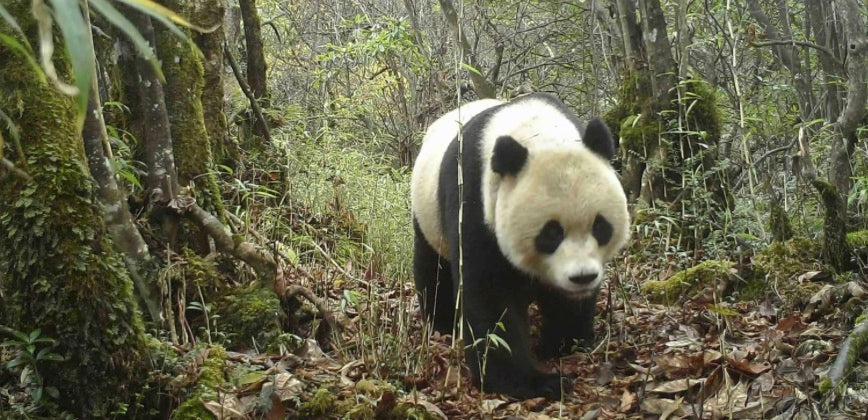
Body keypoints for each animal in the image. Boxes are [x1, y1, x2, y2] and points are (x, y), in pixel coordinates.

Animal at [410, 93, 630, 399]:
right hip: (427, 212)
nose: (582, 277)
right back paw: (442, 324)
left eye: (600, 226)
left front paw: (565, 342)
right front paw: (534, 381)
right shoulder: (474, 200)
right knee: (433, 267)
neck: (538, 133)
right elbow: (490, 295)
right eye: (551, 233)